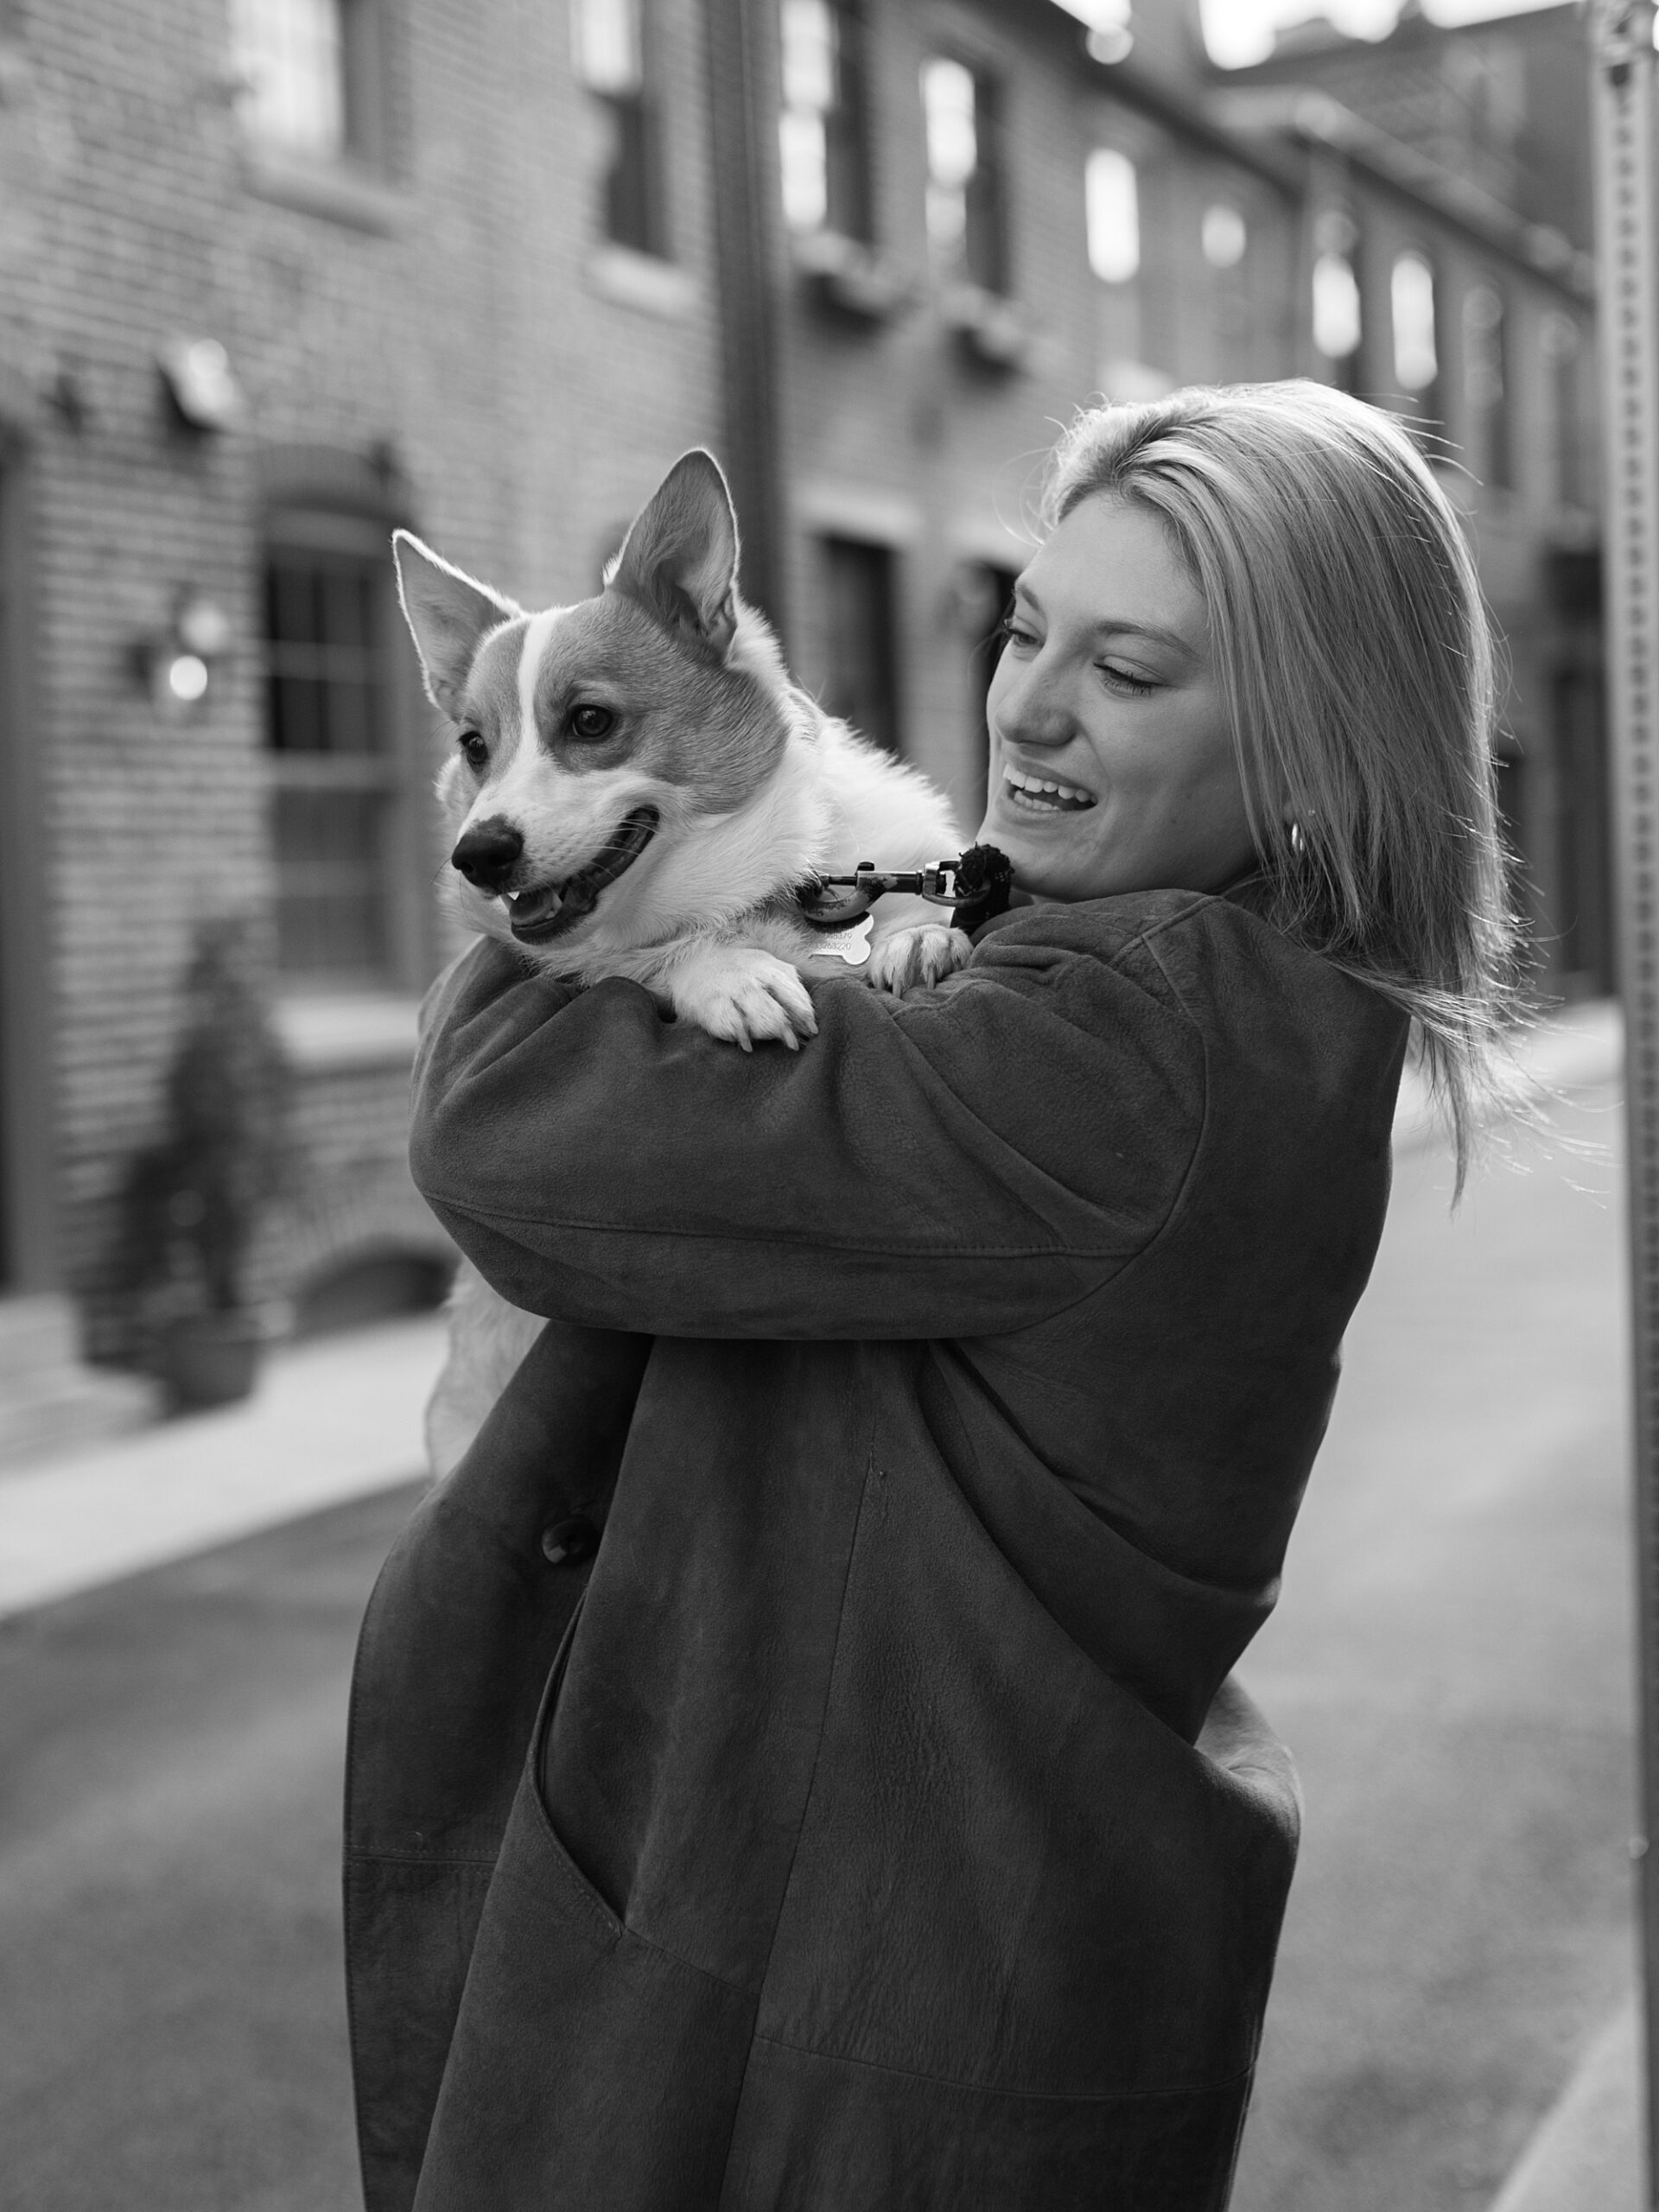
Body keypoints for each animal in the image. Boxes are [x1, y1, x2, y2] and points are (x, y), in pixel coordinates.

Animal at [397, 451, 973, 1478]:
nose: (479, 855)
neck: (758, 888)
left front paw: (919, 936)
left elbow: (915, 911)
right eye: (474, 746)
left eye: (590, 722)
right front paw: (729, 975)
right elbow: (657, 956)